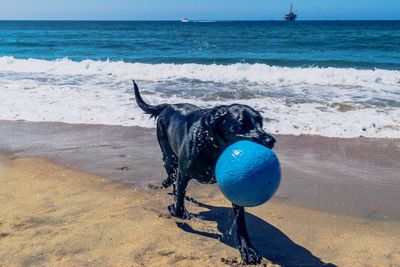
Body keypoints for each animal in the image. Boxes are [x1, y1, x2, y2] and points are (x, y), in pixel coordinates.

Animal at [133, 80, 276, 264]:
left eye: (261, 123)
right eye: (242, 124)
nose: (271, 140)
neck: (213, 145)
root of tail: (168, 105)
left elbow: (241, 223)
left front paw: (248, 249)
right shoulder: (184, 172)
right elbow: (178, 205)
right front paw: (175, 208)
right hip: (168, 151)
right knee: (170, 172)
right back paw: (168, 186)